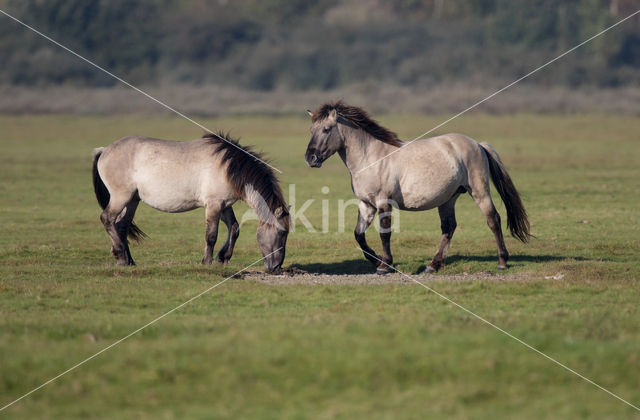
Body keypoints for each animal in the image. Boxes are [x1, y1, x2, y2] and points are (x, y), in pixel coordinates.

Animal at [91, 133, 288, 274]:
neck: (227, 167)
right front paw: (207, 262)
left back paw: (128, 261)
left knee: (121, 226)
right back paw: (121, 256)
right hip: (121, 197)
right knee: (107, 219)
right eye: (282, 233)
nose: (277, 267)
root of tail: (104, 150)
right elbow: (211, 235)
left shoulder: (224, 205)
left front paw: (223, 257)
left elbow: (234, 228)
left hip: (132, 200)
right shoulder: (214, 205)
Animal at [304, 100, 528, 274]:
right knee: (449, 227)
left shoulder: (383, 203)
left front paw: (385, 265)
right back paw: (433, 265)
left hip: (479, 192)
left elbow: (385, 233)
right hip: (448, 198)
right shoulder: (366, 204)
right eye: (311, 130)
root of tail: (478, 145)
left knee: (493, 220)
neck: (372, 158)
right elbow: (359, 236)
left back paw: (502, 262)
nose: (310, 158)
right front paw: (378, 261)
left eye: (326, 129)